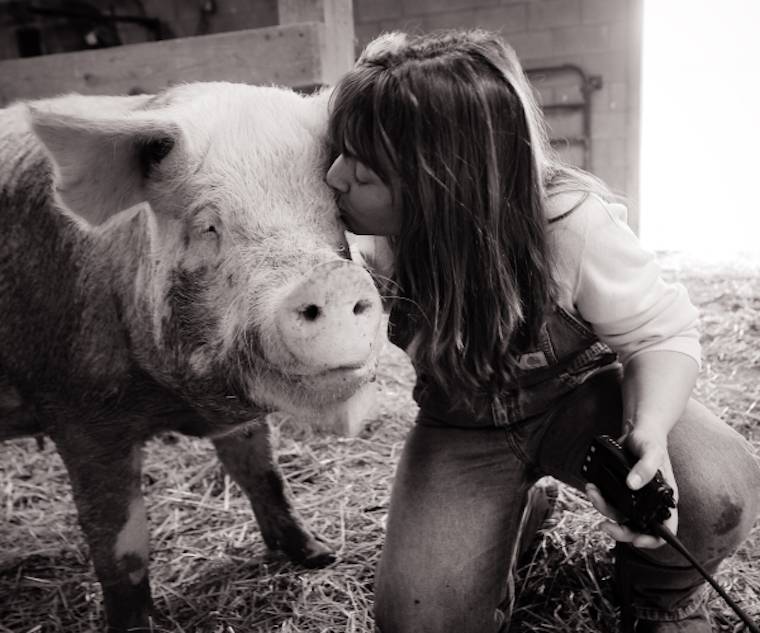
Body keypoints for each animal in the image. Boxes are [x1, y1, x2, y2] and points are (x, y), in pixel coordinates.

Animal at [0, 82, 384, 631]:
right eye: (208, 225)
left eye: (333, 212)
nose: (330, 280)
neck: (172, 403)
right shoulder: (79, 416)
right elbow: (121, 542)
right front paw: (139, 627)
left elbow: (262, 475)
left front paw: (318, 554)